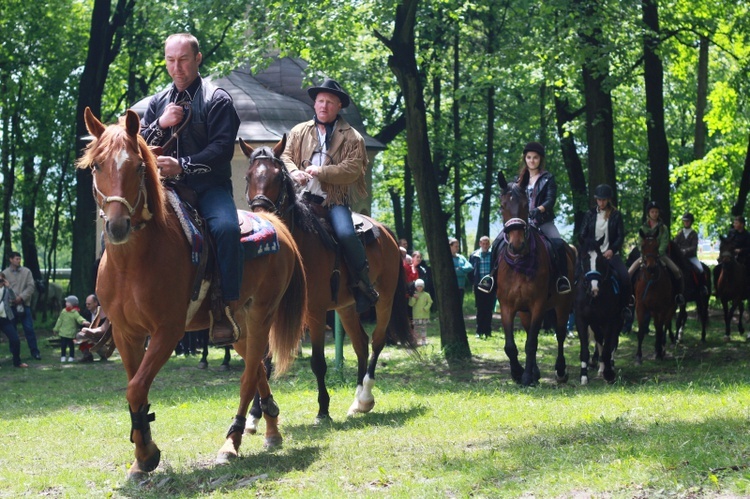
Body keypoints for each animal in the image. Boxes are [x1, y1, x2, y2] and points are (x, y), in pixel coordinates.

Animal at [77, 109, 308, 480]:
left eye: (138, 167)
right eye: (97, 165)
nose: (117, 226)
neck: (134, 261)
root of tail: (276, 224)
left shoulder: (167, 332)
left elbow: (136, 387)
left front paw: (147, 454)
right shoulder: (128, 334)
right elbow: (135, 390)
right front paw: (142, 457)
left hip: (261, 316)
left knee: (249, 376)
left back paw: (231, 442)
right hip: (236, 326)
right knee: (257, 367)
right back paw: (271, 429)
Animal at [241, 136, 418, 422]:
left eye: (278, 177)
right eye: (248, 176)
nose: (261, 214)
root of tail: (386, 233)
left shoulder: (314, 311)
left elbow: (318, 362)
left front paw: (323, 409)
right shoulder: (268, 310)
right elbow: (262, 360)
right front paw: (256, 414)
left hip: (386, 299)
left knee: (377, 341)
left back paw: (365, 396)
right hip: (347, 307)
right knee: (361, 343)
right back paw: (357, 402)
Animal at [494, 171, 576, 386]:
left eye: (525, 205)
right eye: (502, 205)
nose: (516, 245)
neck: (520, 263)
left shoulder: (538, 304)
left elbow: (532, 343)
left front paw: (526, 377)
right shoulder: (507, 306)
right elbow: (511, 346)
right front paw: (518, 372)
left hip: (563, 304)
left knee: (560, 334)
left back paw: (560, 371)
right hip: (524, 312)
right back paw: (535, 372)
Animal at [576, 244, 624, 384]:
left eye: (601, 261)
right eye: (585, 260)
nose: (594, 288)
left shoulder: (610, 321)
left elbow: (608, 346)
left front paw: (609, 374)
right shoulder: (582, 320)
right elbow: (586, 349)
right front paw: (584, 376)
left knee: (613, 342)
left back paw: (609, 367)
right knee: (600, 341)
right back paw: (601, 368)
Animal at [636, 232, 676, 366]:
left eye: (656, 246)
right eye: (643, 246)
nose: (651, 267)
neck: (651, 280)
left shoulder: (662, 308)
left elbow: (659, 328)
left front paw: (659, 353)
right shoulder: (640, 307)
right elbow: (641, 331)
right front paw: (638, 357)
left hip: (670, 308)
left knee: (664, 325)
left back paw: (661, 349)